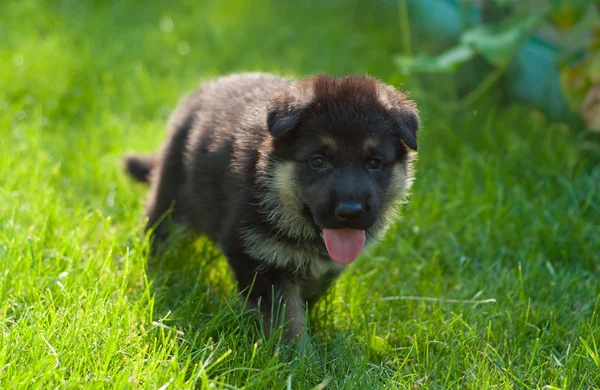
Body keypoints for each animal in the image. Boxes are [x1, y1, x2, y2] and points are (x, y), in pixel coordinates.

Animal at [124, 72, 420, 344]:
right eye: (318, 161)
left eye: (375, 162)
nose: (350, 212)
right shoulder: (259, 259)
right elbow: (286, 318)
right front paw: (296, 358)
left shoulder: (324, 267)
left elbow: (307, 295)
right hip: (170, 198)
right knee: (160, 235)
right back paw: (158, 272)